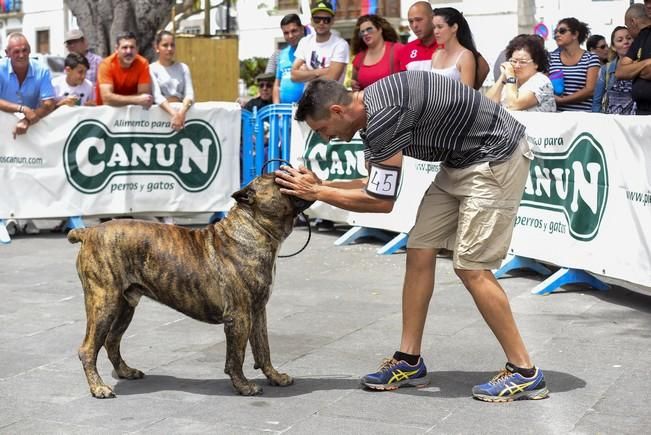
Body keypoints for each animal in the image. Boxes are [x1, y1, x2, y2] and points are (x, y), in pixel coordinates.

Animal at [69, 174, 314, 398]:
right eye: (278, 179)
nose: (294, 169)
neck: (255, 229)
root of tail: (88, 232)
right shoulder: (239, 316)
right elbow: (236, 356)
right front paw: (244, 386)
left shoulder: (257, 311)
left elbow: (263, 349)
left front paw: (275, 377)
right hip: (104, 302)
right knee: (88, 348)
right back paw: (98, 387)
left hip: (125, 306)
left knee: (111, 341)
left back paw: (126, 372)